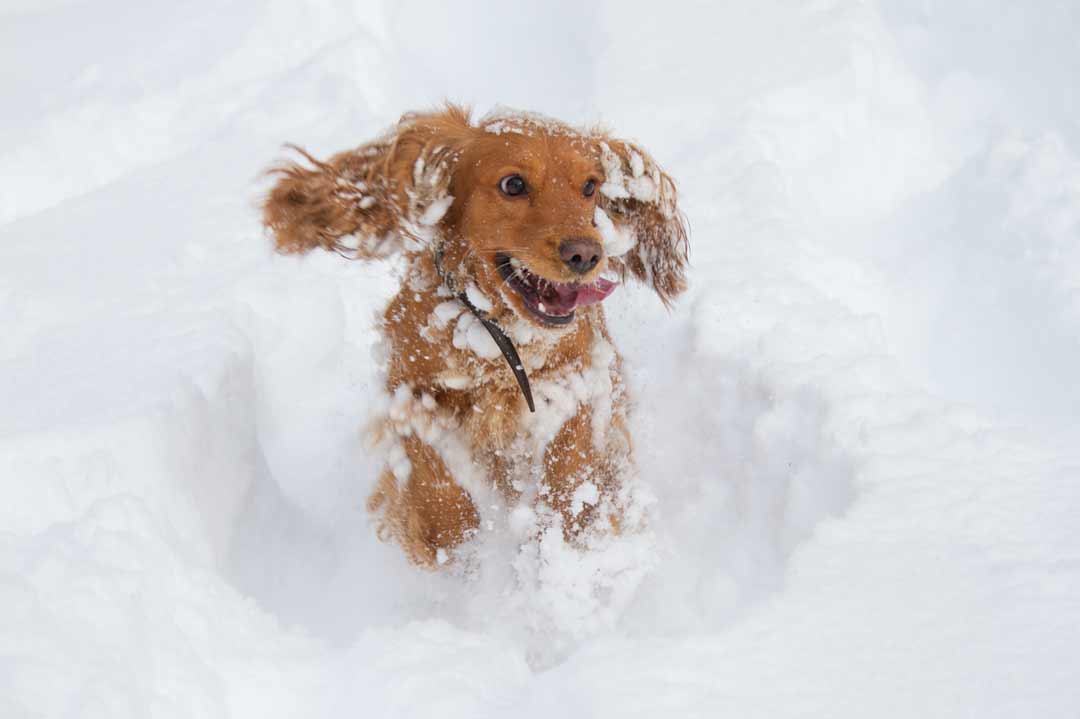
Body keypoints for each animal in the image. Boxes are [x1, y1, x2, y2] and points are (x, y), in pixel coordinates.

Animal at [263, 106, 682, 565]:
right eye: (513, 184)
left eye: (590, 186)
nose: (586, 254)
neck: (497, 337)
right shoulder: (408, 386)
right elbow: (427, 466)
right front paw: (455, 542)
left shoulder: (582, 377)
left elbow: (572, 458)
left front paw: (565, 537)